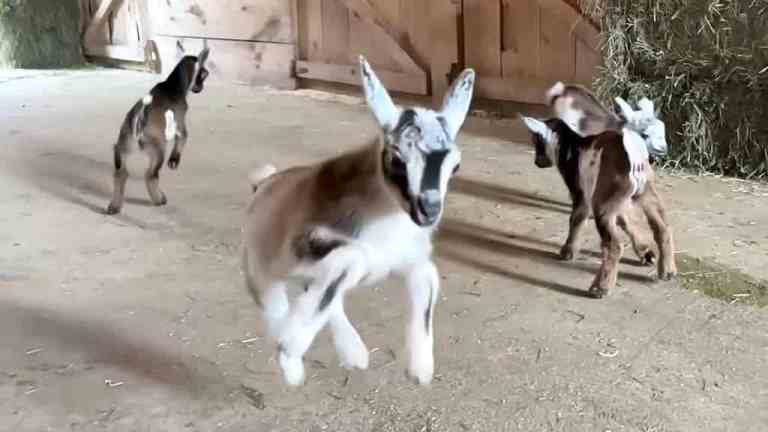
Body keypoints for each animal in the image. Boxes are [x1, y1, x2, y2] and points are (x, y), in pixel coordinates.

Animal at [106, 44, 210, 215]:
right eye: (205, 74)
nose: (200, 88)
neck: (173, 85)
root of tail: (140, 115)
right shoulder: (180, 124)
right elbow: (183, 138)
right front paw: (174, 161)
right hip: (158, 149)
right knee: (151, 175)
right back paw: (159, 199)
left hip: (123, 146)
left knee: (121, 174)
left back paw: (114, 206)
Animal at [243, 56, 476, 384]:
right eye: (396, 159)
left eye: (455, 166)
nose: (428, 211)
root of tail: (262, 183)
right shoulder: (308, 241)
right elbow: (350, 260)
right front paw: (289, 353)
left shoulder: (411, 257)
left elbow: (428, 280)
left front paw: (420, 369)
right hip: (261, 270)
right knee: (276, 302)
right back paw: (295, 362)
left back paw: (354, 355)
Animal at [520, 83, 680, 296]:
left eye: (536, 140)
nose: (537, 162)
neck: (571, 144)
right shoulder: (617, 199)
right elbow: (627, 220)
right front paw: (645, 252)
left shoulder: (581, 191)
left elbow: (576, 219)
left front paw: (567, 251)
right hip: (644, 192)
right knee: (663, 228)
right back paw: (668, 271)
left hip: (604, 201)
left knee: (614, 245)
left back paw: (600, 287)